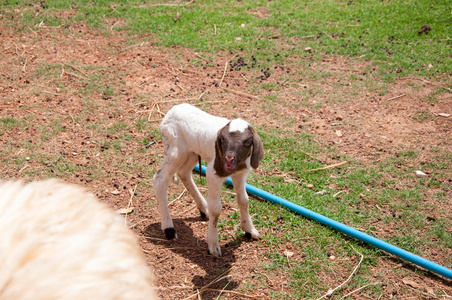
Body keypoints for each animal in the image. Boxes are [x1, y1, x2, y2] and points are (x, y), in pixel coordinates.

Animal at [153, 103, 264, 255]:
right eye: (222, 140)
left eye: (247, 142)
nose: (229, 159)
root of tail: (172, 110)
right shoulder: (213, 174)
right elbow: (216, 209)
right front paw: (213, 245)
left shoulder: (240, 174)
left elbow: (243, 200)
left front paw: (249, 230)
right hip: (175, 151)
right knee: (160, 180)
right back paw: (169, 229)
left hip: (192, 152)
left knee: (184, 172)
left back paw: (203, 209)